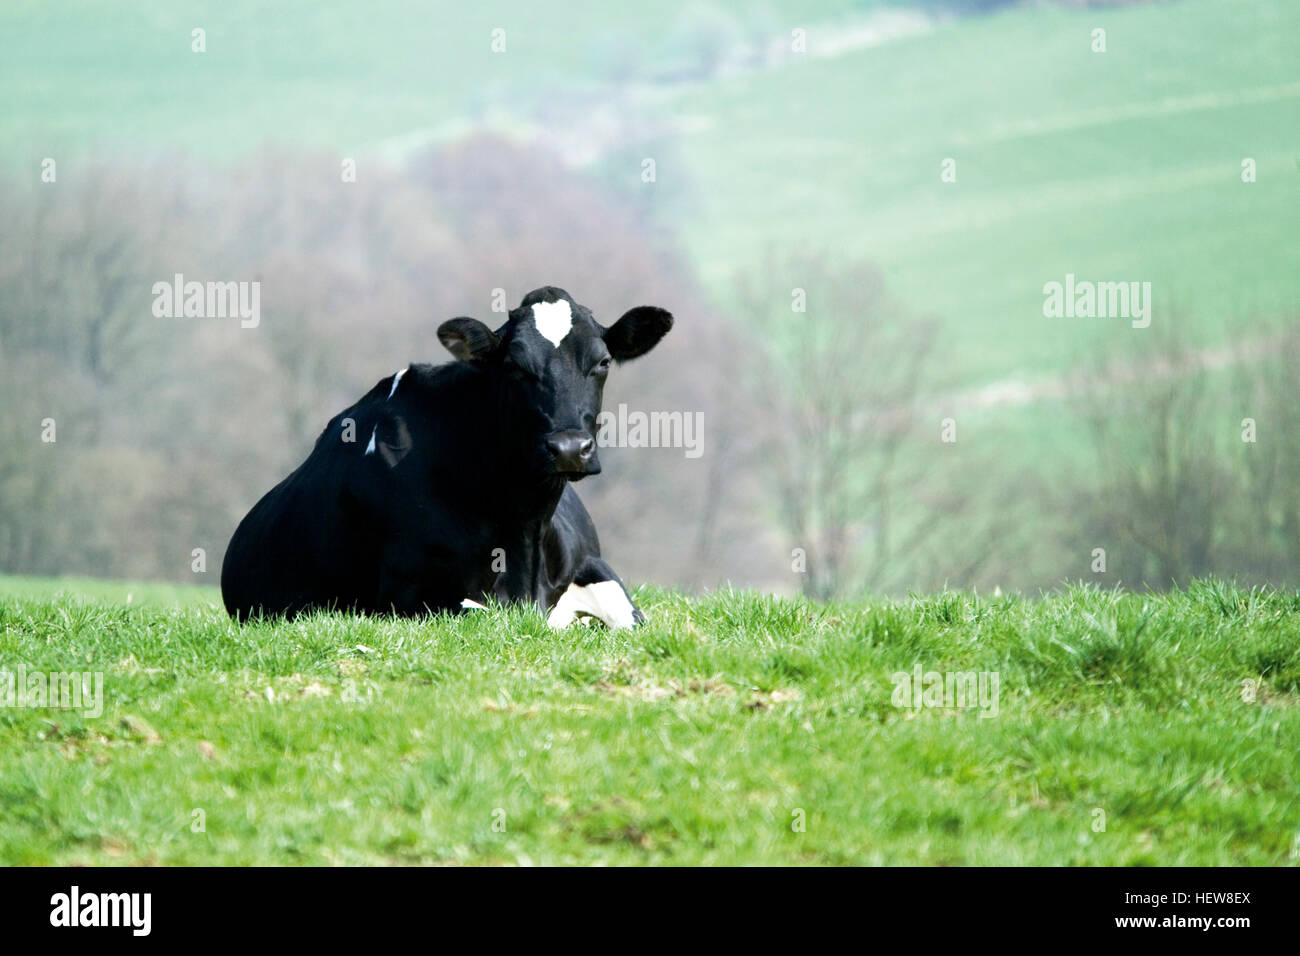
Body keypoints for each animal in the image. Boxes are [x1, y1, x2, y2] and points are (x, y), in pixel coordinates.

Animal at [220, 286, 672, 630]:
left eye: (603, 361)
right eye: (514, 365)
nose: (568, 448)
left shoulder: (595, 567)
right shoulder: (407, 594)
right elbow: (485, 614)